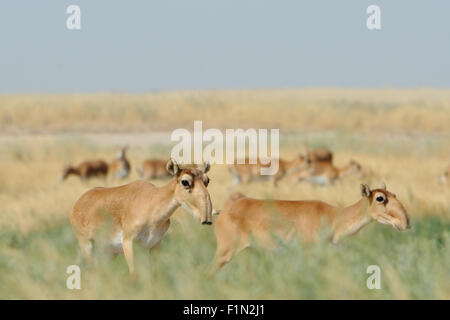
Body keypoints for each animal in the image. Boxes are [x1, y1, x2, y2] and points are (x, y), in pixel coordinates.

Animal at [69, 159, 213, 276]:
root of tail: (79, 203)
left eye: (207, 180)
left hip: (109, 253)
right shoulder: (128, 243)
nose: (206, 218)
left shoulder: (155, 245)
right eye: (185, 181)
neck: (151, 202)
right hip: (87, 245)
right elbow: (134, 274)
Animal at [209, 182, 410, 272]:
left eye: (394, 194)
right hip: (224, 252)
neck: (334, 217)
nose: (405, 222)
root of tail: (223, 211)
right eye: (380, 198)